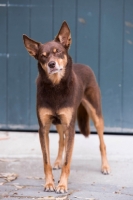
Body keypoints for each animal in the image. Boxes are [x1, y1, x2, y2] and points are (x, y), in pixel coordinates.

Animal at [23, 21, 110, 193]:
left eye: (59, 52)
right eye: (43, 56)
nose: (51, 64)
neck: (56, 87)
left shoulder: (70, 127)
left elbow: (67, 162)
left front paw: (62, 185)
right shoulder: (44, 127)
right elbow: (46, 161)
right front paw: (49, 183)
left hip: (95, 114)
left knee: (102, 142)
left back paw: (105, 167)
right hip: (59, 122)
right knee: (61, 141)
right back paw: (57, 161)